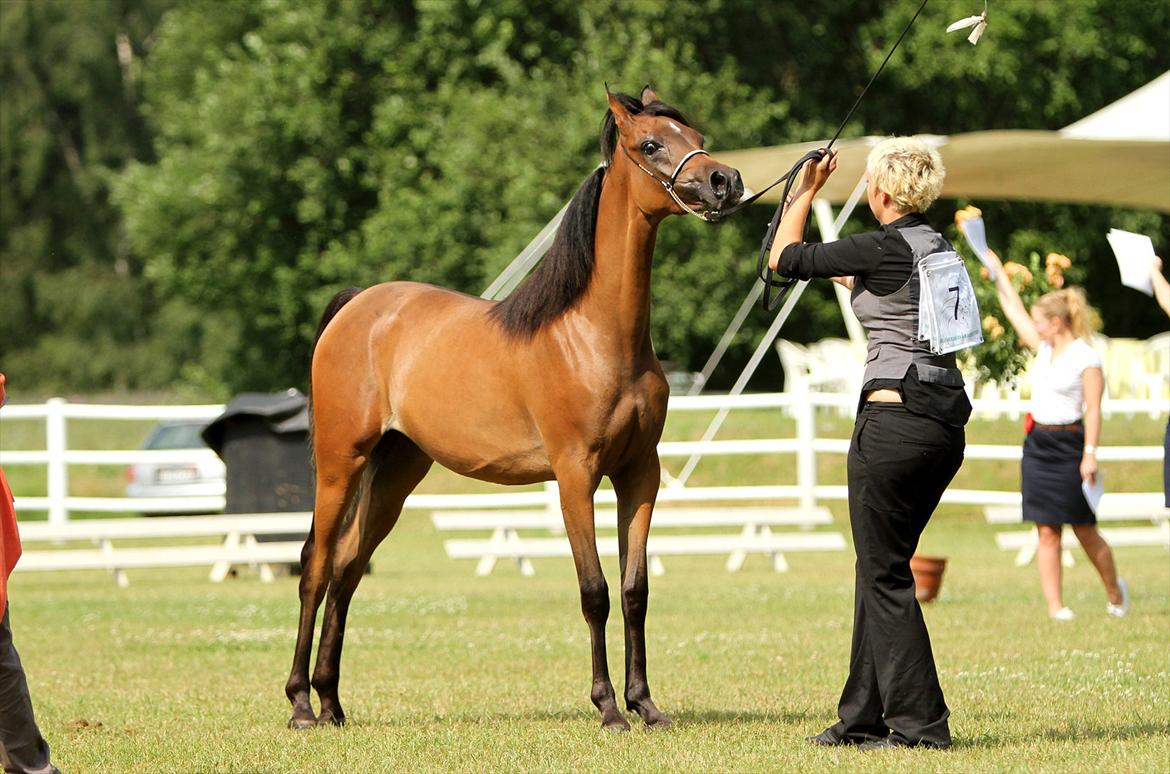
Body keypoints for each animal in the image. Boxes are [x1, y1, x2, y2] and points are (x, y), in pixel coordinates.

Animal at [285, 86, 739, 734]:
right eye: (651, 144)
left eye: (695, 134)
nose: (725, 181)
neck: (595, 335)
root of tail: (358, 306)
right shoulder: (575, 476)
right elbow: (595, 591)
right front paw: (608, 708)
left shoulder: (639, 473)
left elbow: (635, 591)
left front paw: (646, 704)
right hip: (339, 462)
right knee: (316, 565)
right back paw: (300, 703)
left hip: (396, 472)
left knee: (347, 569)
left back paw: (332, 702)